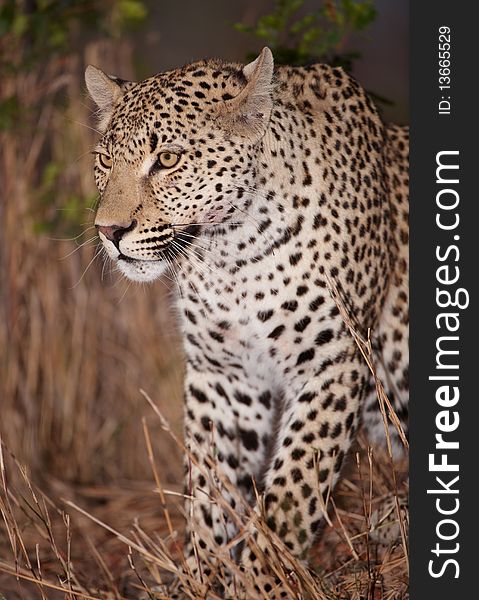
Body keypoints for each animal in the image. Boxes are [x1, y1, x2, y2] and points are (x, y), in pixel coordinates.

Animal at [85, 48, 408, 600]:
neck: (232, 254)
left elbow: (292, 490)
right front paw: (203, 578)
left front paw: (264, 582)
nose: (109, 231)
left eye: (167, 159)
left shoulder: (333, 364)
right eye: (106, 161)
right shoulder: (222, 376)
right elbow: (210, 490)